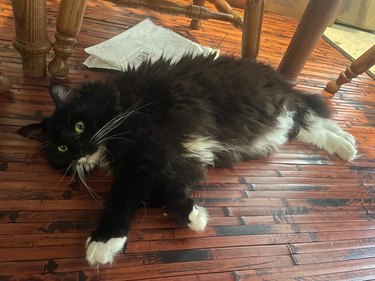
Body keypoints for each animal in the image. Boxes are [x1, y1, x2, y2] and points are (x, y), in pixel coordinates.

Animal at [18, 53, 358, 266]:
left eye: (78, 125)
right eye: (62, 149)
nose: (80, 150)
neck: (121, 104)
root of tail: (280, 80)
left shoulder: (144, 155)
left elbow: (121, 198)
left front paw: (104, 242)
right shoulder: (162, 162)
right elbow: (162, 192)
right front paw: (193, 216)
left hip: (279, 111)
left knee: (311, 115)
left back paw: (349, 145)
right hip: (278, 125)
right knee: (312, 125)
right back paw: (348, 145)